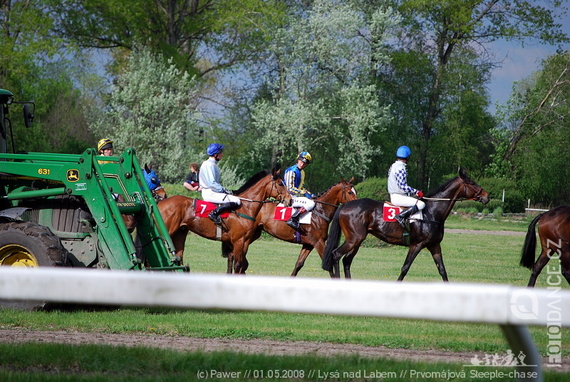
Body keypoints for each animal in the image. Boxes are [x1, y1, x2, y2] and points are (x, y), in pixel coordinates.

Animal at [155, 169, 288, 274]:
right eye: (280, 183)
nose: (289, 199)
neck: (245, 207)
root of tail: (161, 202)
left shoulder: (244, 242)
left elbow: (241, 265)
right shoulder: (238, 241)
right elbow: (238, 265)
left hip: (180, 233)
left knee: (179, 257)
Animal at [320, 169, 488, 280]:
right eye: (472, 183)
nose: (487, 196)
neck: (432, 212)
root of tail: (345, 205)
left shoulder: (434, 245)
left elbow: (442, 270)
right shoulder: (417, 245)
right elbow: (405, 268)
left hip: (357, 240)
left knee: (346, 260)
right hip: (354, 239)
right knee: (336, 255)